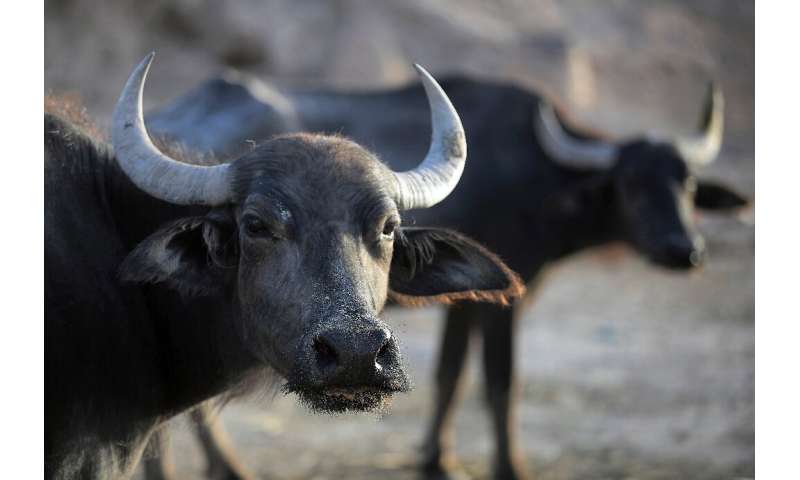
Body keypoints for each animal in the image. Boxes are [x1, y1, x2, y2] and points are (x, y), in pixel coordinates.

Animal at [141, 72, 748, 480]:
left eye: (688, 184)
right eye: (631, 184)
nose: (684, 250)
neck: (536, 174)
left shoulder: (466, 299)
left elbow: (450, 375)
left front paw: (436, 458)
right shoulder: (502, 302)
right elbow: (500, 381)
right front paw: (509, 466)